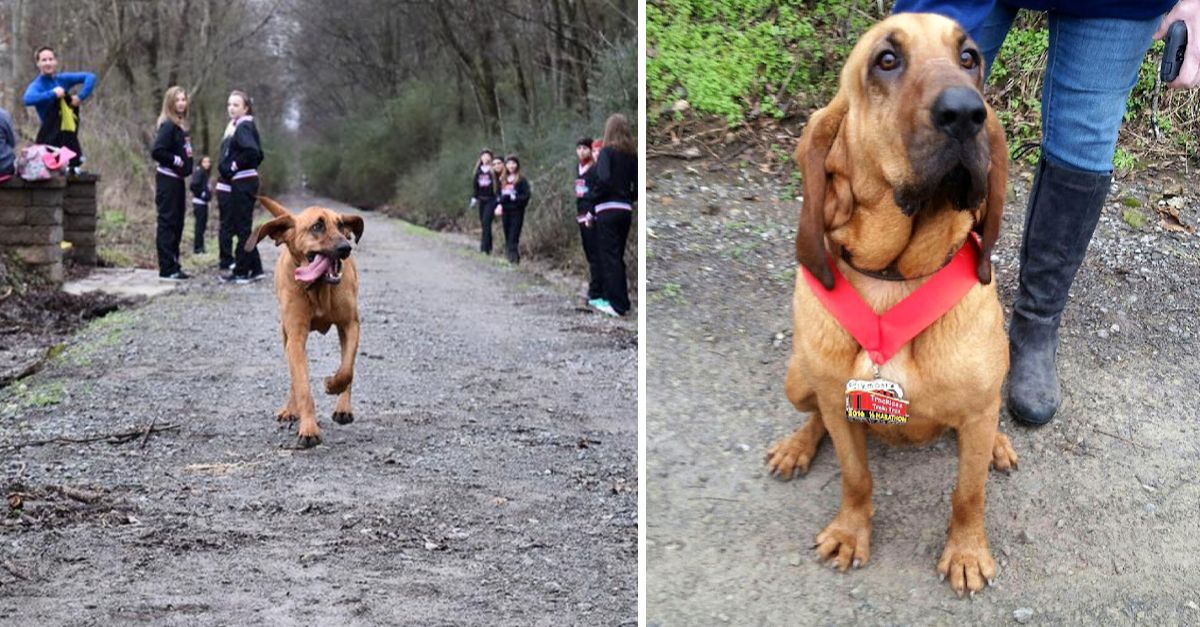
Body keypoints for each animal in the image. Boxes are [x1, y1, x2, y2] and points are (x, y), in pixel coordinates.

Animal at [249, 198, 362, 446]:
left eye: (341, 225)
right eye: (317, 226)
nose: (346, 248)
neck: (318, 288)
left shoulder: (350, 325)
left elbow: (347, 369)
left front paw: (332, 385)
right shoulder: (296, 337)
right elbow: (302, 386)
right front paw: (309, 428)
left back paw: (343, 408)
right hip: (286, 335)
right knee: (294, 377)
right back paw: (291, 410)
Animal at [768, 12, 1022, 593]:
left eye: (969, 58)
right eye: (886, 60)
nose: (966, 114)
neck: (895, 276)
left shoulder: (977, 411)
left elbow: (968, 493)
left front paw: (967, 552)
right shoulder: (838, 402)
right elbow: (855, 476)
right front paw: (849, 532)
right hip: (798, 379)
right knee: (815, 416)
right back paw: (796, 445)